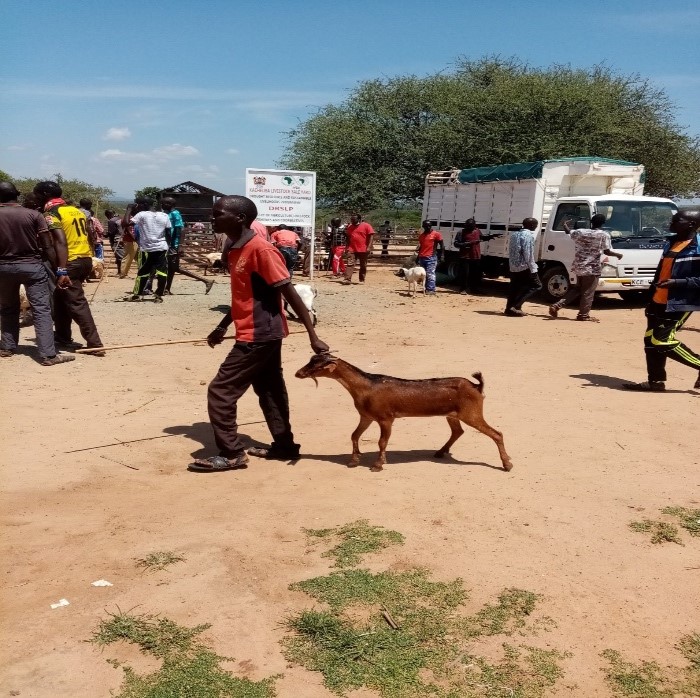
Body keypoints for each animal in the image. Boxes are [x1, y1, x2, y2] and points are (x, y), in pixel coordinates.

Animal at [292, 354, 512, 474]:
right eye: (311, 360)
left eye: (317, 365)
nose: (298, 373)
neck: (366, 387)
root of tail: (476, 386)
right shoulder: (366, 416)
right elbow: (354, 435)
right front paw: (354, 460)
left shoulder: (385, 419)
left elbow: (382, 441)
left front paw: (378, 464)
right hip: (453, 414)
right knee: (458, 431)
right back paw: (440, 452)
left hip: (472, 414)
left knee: (497, 433)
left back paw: (507, 464)